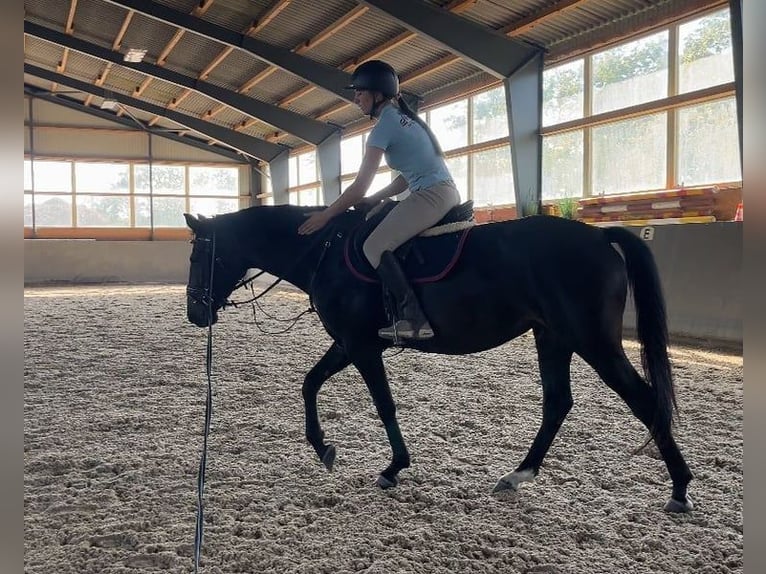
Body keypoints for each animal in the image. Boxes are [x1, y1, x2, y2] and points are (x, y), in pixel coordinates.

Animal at [183, 204, 693, 513]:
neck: (324, 252)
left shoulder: (362, 345)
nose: (195, 312)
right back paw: (518, 475)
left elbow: (383, 404)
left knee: (644, 400)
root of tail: (599, 237)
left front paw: (393, 468)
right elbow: (309, 383)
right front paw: (323, 446)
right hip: (552, 337)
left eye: (203, 256)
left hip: (593, 341)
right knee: (557, 403)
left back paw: (681, 490)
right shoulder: (348, 343)